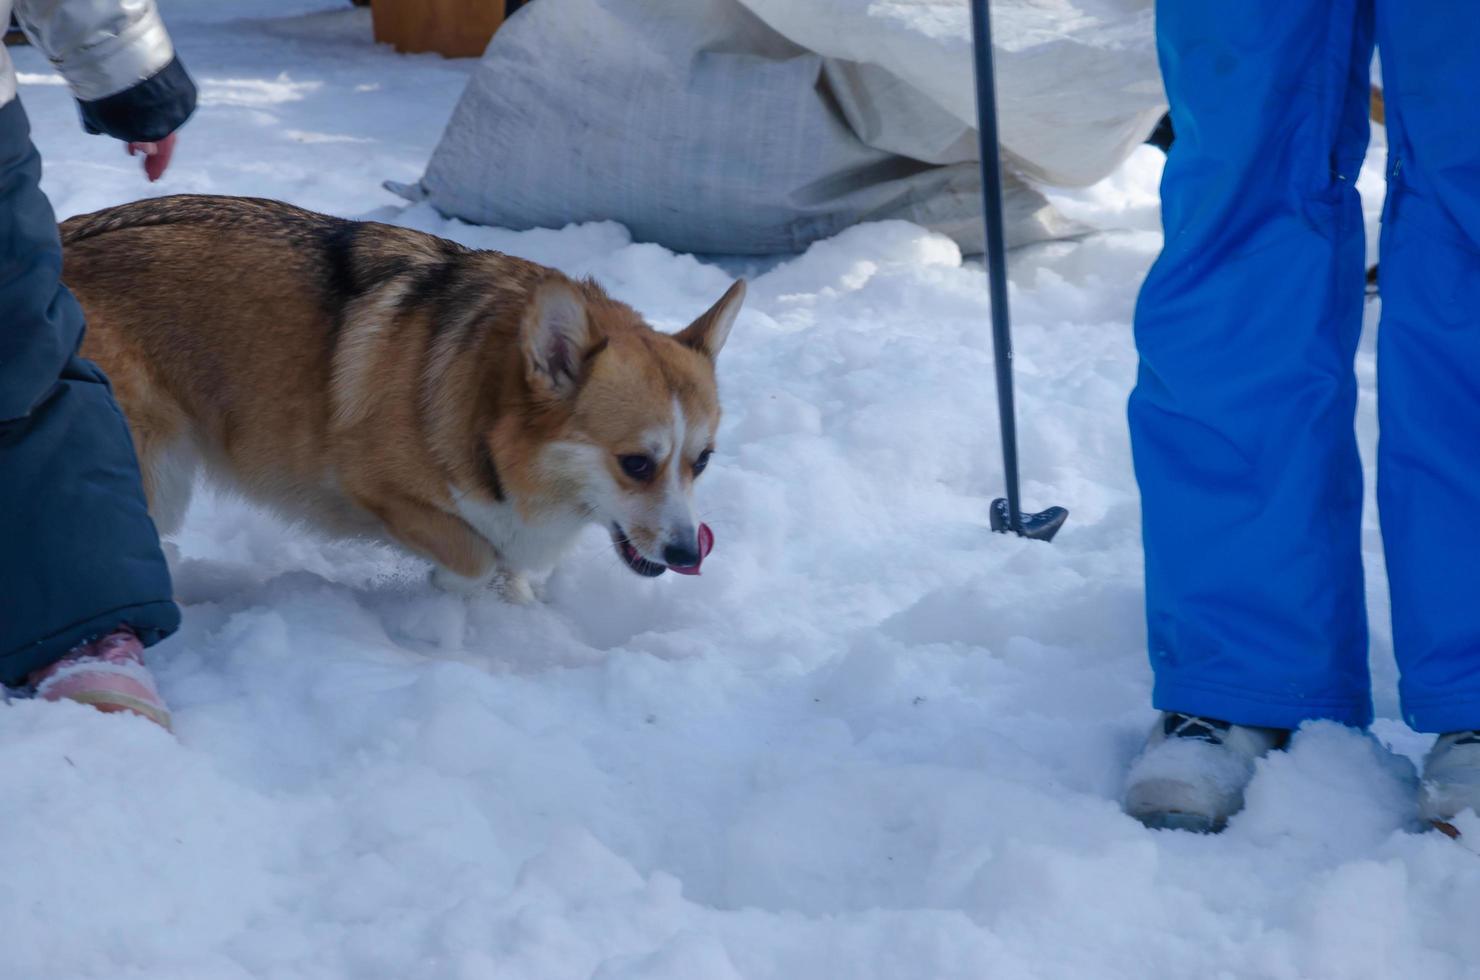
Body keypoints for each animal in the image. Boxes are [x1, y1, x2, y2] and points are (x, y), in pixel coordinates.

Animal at [63, 193, 745, 598]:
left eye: (702, 461)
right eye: (636, 464)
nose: (688, 553)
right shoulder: (371, 487)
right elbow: (473, 557)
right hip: (156, 468)